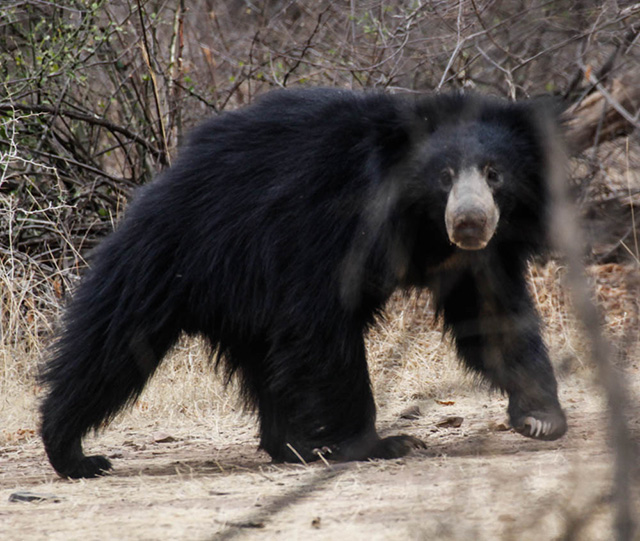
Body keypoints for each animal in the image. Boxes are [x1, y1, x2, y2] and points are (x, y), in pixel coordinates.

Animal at [42, 87, 568, 476]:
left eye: (495, 174)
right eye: (444, 176)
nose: (470, 223)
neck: (420, 223)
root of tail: (160, 182)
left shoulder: (475, 258)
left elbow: (490, 314)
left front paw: (541, 418)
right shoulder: (331, 222)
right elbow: (322, 321)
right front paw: (380, 444)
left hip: (242, 297)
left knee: (264, 364)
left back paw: (291, 447)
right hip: (167, 260)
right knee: (109, 347)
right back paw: (73, 454)